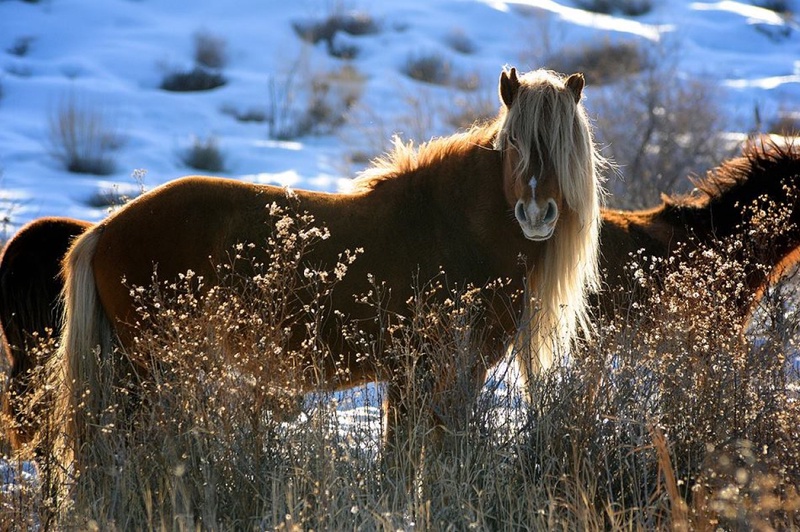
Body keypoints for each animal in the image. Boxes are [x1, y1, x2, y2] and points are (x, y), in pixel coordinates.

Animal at [48, 68, 600, 472]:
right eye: (514, 144)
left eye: (562, 147)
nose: (537, 214)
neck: (451, 226)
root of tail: (105, 229)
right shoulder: (421, 374)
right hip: (152, 371)